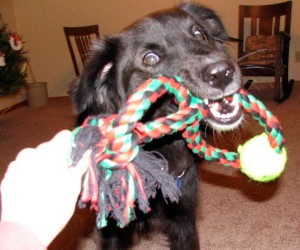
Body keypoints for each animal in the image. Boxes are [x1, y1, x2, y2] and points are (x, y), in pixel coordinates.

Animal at [73, 2, 244, 249]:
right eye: (150, 59)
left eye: (199, 34)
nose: (222, 72)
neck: (162, 149)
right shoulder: (113, 228)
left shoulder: (183, 218)